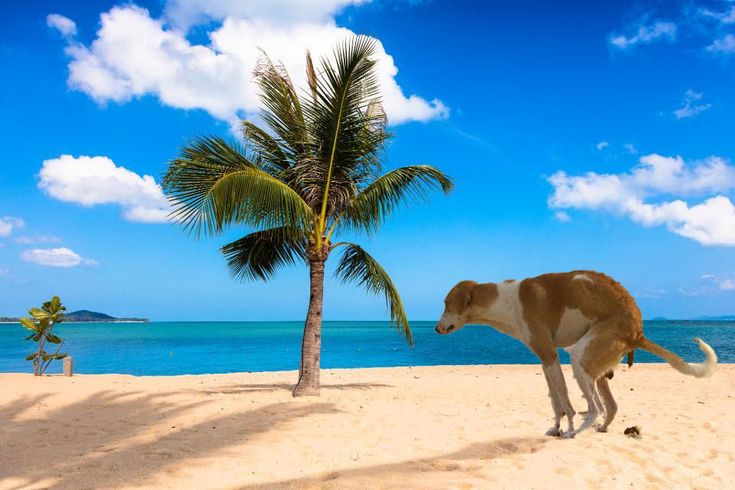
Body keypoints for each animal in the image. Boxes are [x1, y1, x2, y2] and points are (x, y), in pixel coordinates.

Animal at [436, 272, 720, 436]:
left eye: (446, 303)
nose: (437, 329)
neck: (506, 300)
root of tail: (637, 331)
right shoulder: (545, 361)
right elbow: (556, 402)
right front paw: (555, 428)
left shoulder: (550, 356)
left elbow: (566, 403)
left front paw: (568, 428)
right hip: (595, 365)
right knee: (609, 407)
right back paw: (601, 428)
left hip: (580, 358)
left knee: (595, 407)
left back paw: (580, 430)